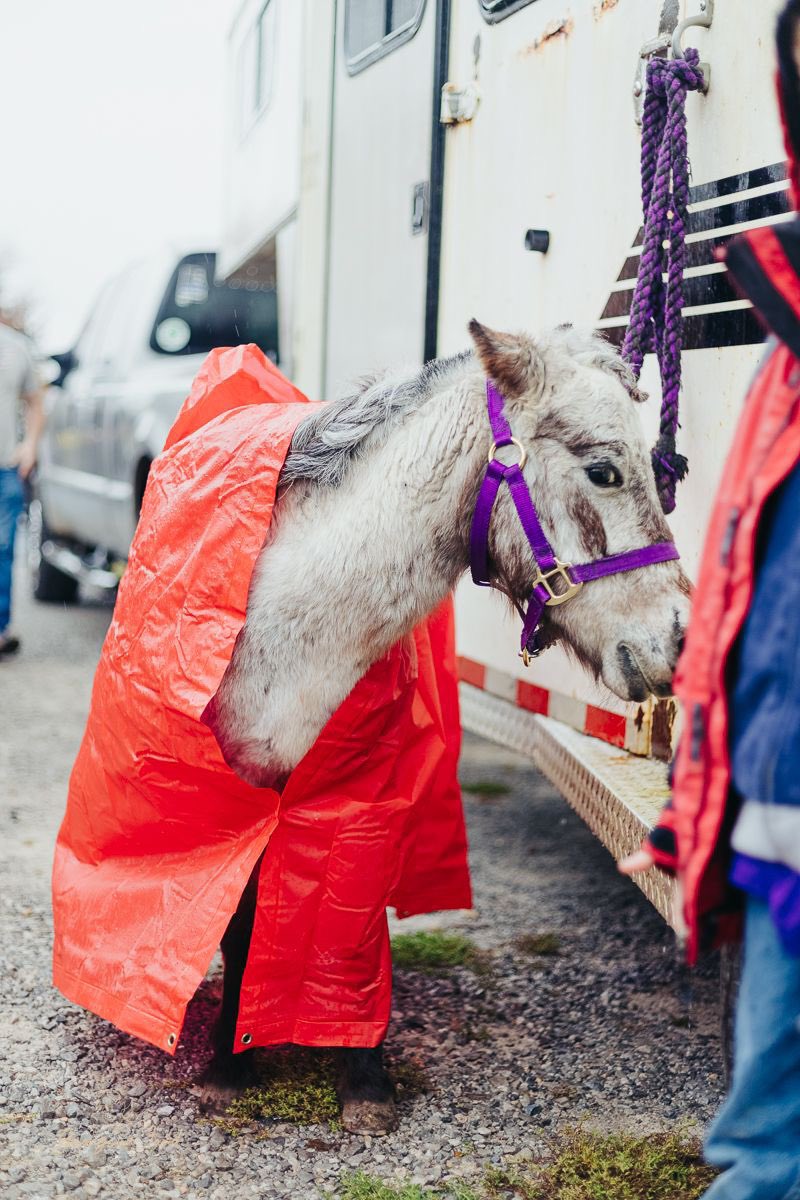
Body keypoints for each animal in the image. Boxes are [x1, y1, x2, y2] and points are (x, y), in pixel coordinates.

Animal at [200, 319, 691, 1132]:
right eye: (603, 471)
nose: (676, 641)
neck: (290, 629)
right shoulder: (238, 787)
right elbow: (239, 918)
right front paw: (225, 1063)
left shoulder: (367, 793)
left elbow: (355, 913)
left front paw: (362, 1074)